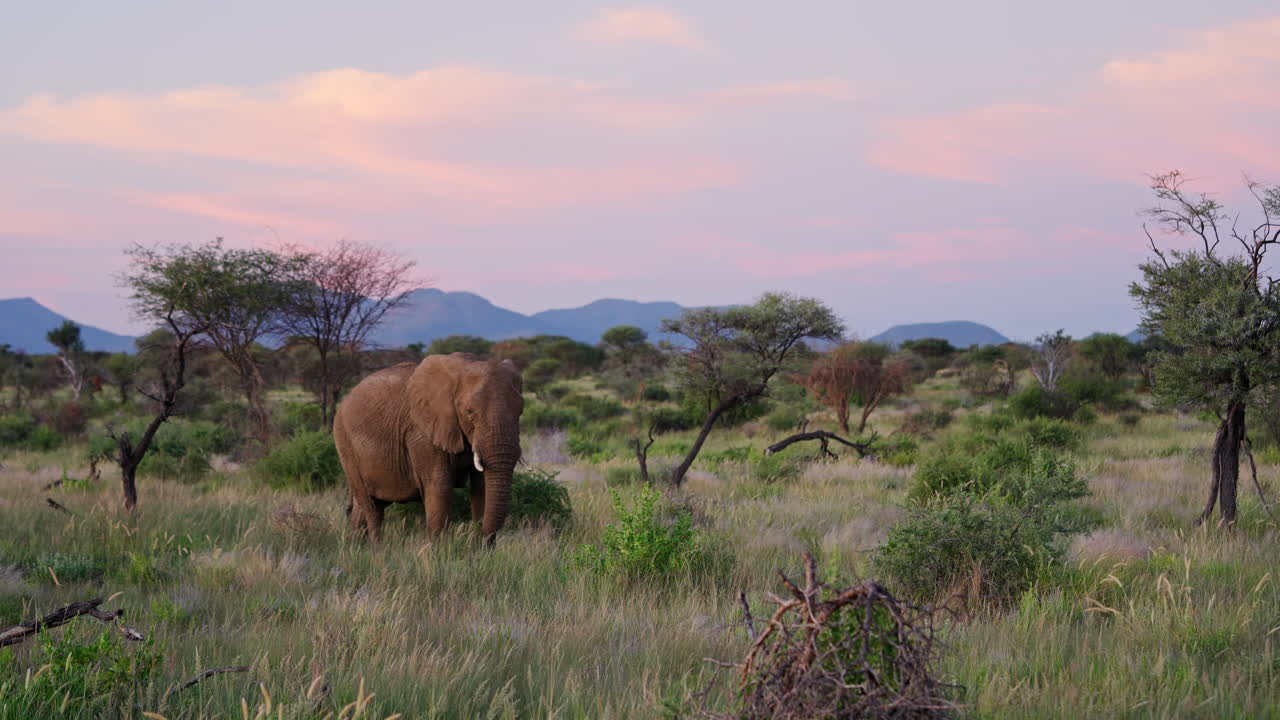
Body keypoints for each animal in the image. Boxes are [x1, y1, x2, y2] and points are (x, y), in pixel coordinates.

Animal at [333, 353, 524, 543]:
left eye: (520, 412)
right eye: (469, 412)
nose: (481, 536)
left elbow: (482, 487)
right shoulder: (421, 432)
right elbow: (439, 485)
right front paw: (439, 549)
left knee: (366, 506)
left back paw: (356, 545)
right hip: (345, 444)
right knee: (372, 506)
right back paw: (376, 548)